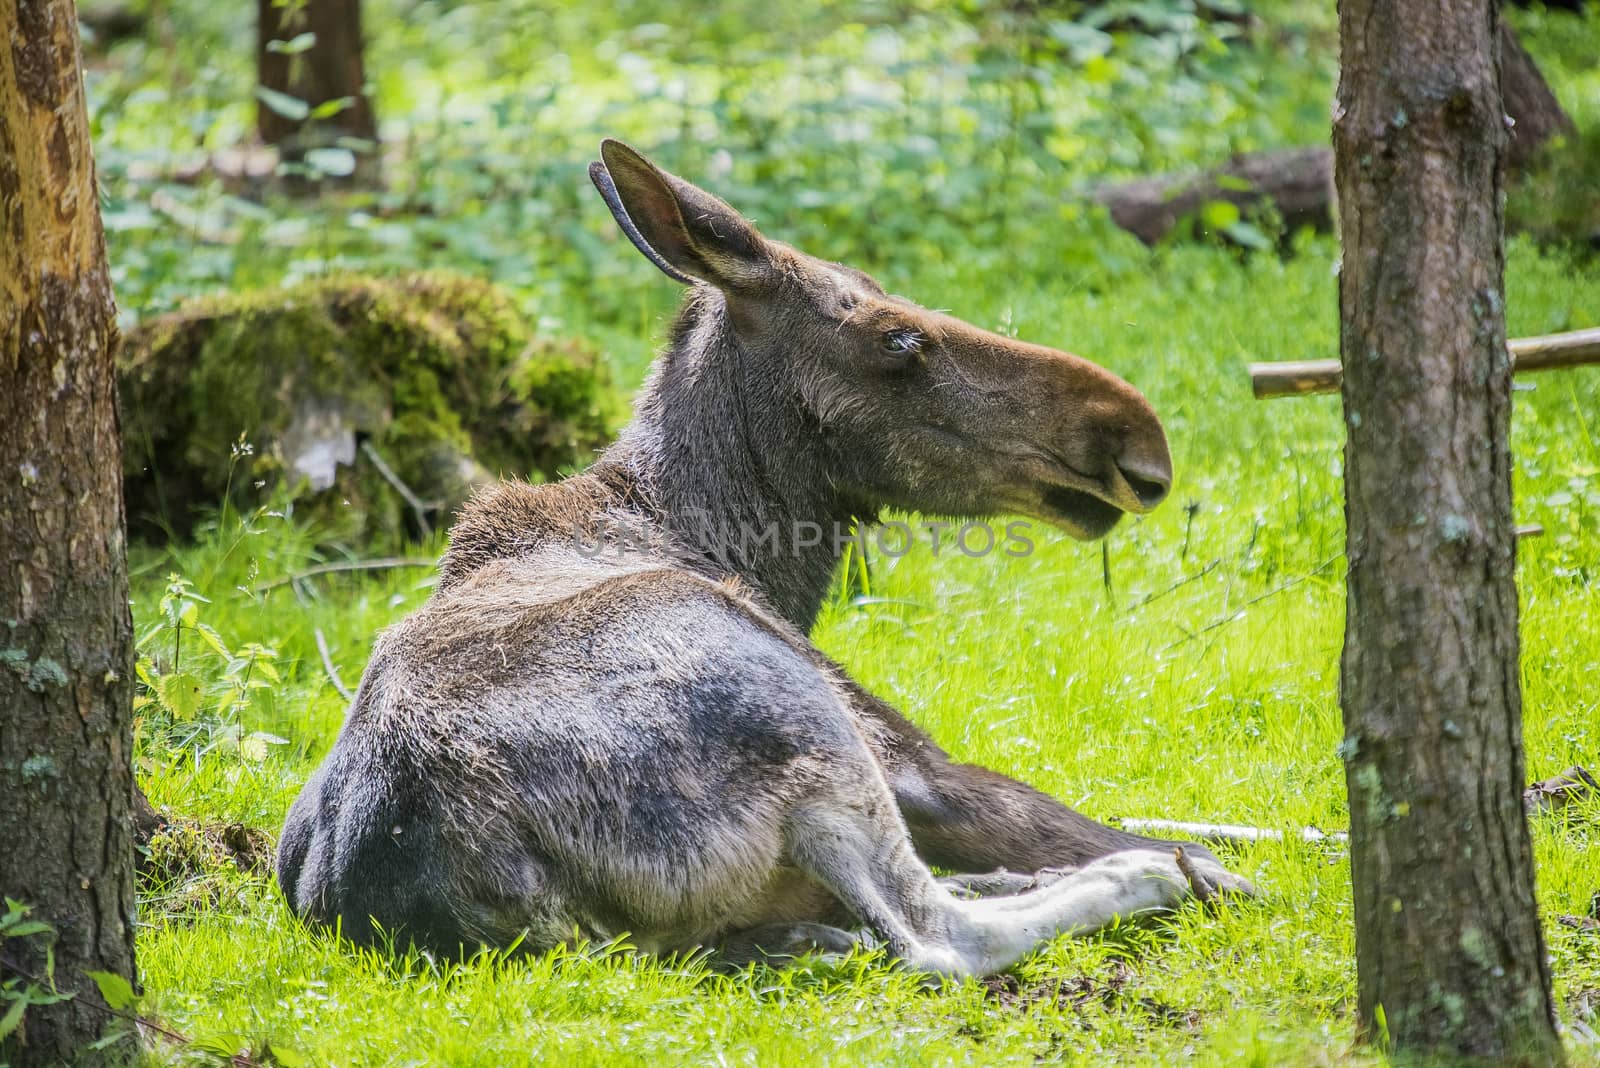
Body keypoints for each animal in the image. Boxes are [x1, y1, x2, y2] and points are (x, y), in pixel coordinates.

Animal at [275, 139, 1248, 978]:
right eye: (900, 339)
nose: (1133, 433)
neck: (737, 543)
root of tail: (474, 891)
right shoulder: (906, 756)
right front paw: (1200, 860)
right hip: (806, 722)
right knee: (936, 936)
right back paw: (1150, 877)